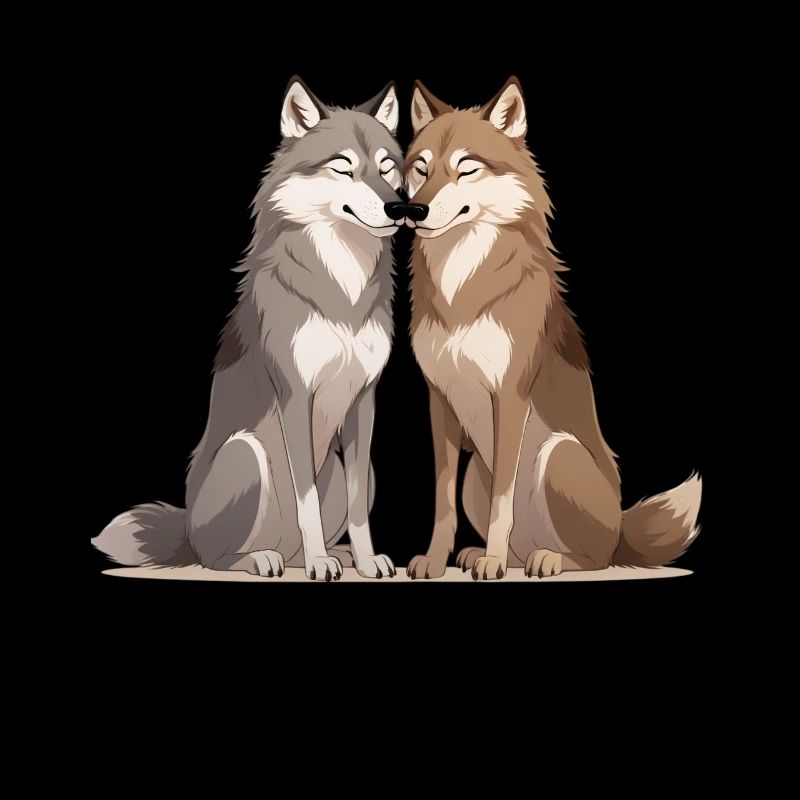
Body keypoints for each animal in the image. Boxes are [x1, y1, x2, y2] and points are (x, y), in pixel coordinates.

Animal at [93, 76, 406, 580]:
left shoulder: (364, 400)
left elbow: (359, 507)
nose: (399, 207)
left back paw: (326, 555)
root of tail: (186, 532)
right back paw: (265, 558)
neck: (343, 285)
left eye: (387, 168)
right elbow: (305, 501)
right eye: (343, 167)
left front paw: (363, 560)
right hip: (246, 453)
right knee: (217, 558)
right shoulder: (296, 395)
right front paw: (319, 562)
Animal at [404, 77, 702, 580]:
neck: (461, 284)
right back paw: (483, 554)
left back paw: (545, 560)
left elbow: (503, 502)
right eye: (420, 169)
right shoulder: (439, 398)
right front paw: (436, 559)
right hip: (475, 473)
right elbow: (442, 501)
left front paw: (492, 563)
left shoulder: (509, 395)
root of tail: (621, 530)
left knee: (595, 559)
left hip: (558, 453)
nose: (414, 209)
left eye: (466, 169)